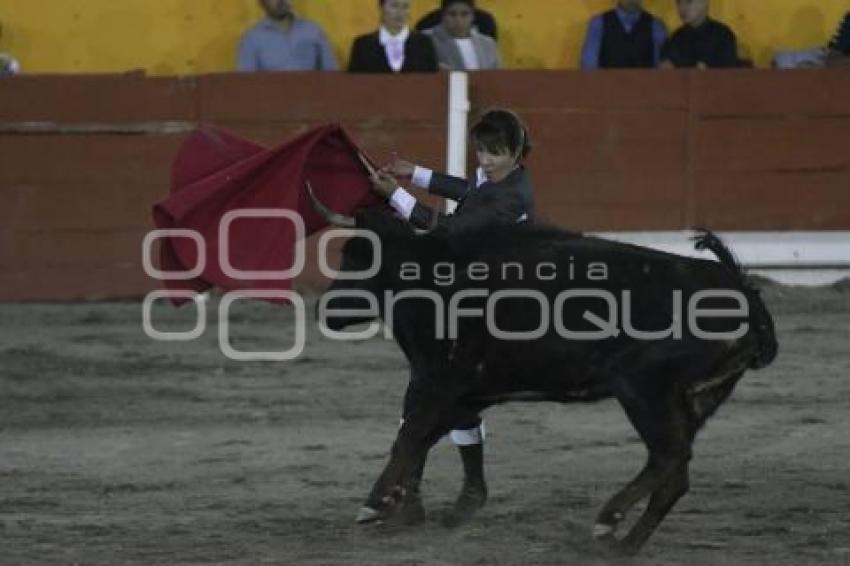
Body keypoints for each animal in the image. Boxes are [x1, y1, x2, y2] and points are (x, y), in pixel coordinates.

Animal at [314, 207, 776, 556]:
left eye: (357, 259)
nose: (325, 309)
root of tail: (742, 291)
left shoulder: (442, 384)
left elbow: (409, 436)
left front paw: (376, 503)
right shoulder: (461, 394)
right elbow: (420, 438)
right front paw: (405, 507)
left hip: (644, 389)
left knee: (668, 458)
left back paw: (607, 523)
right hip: (696, 398)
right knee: (675, 473)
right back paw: (624, 545)